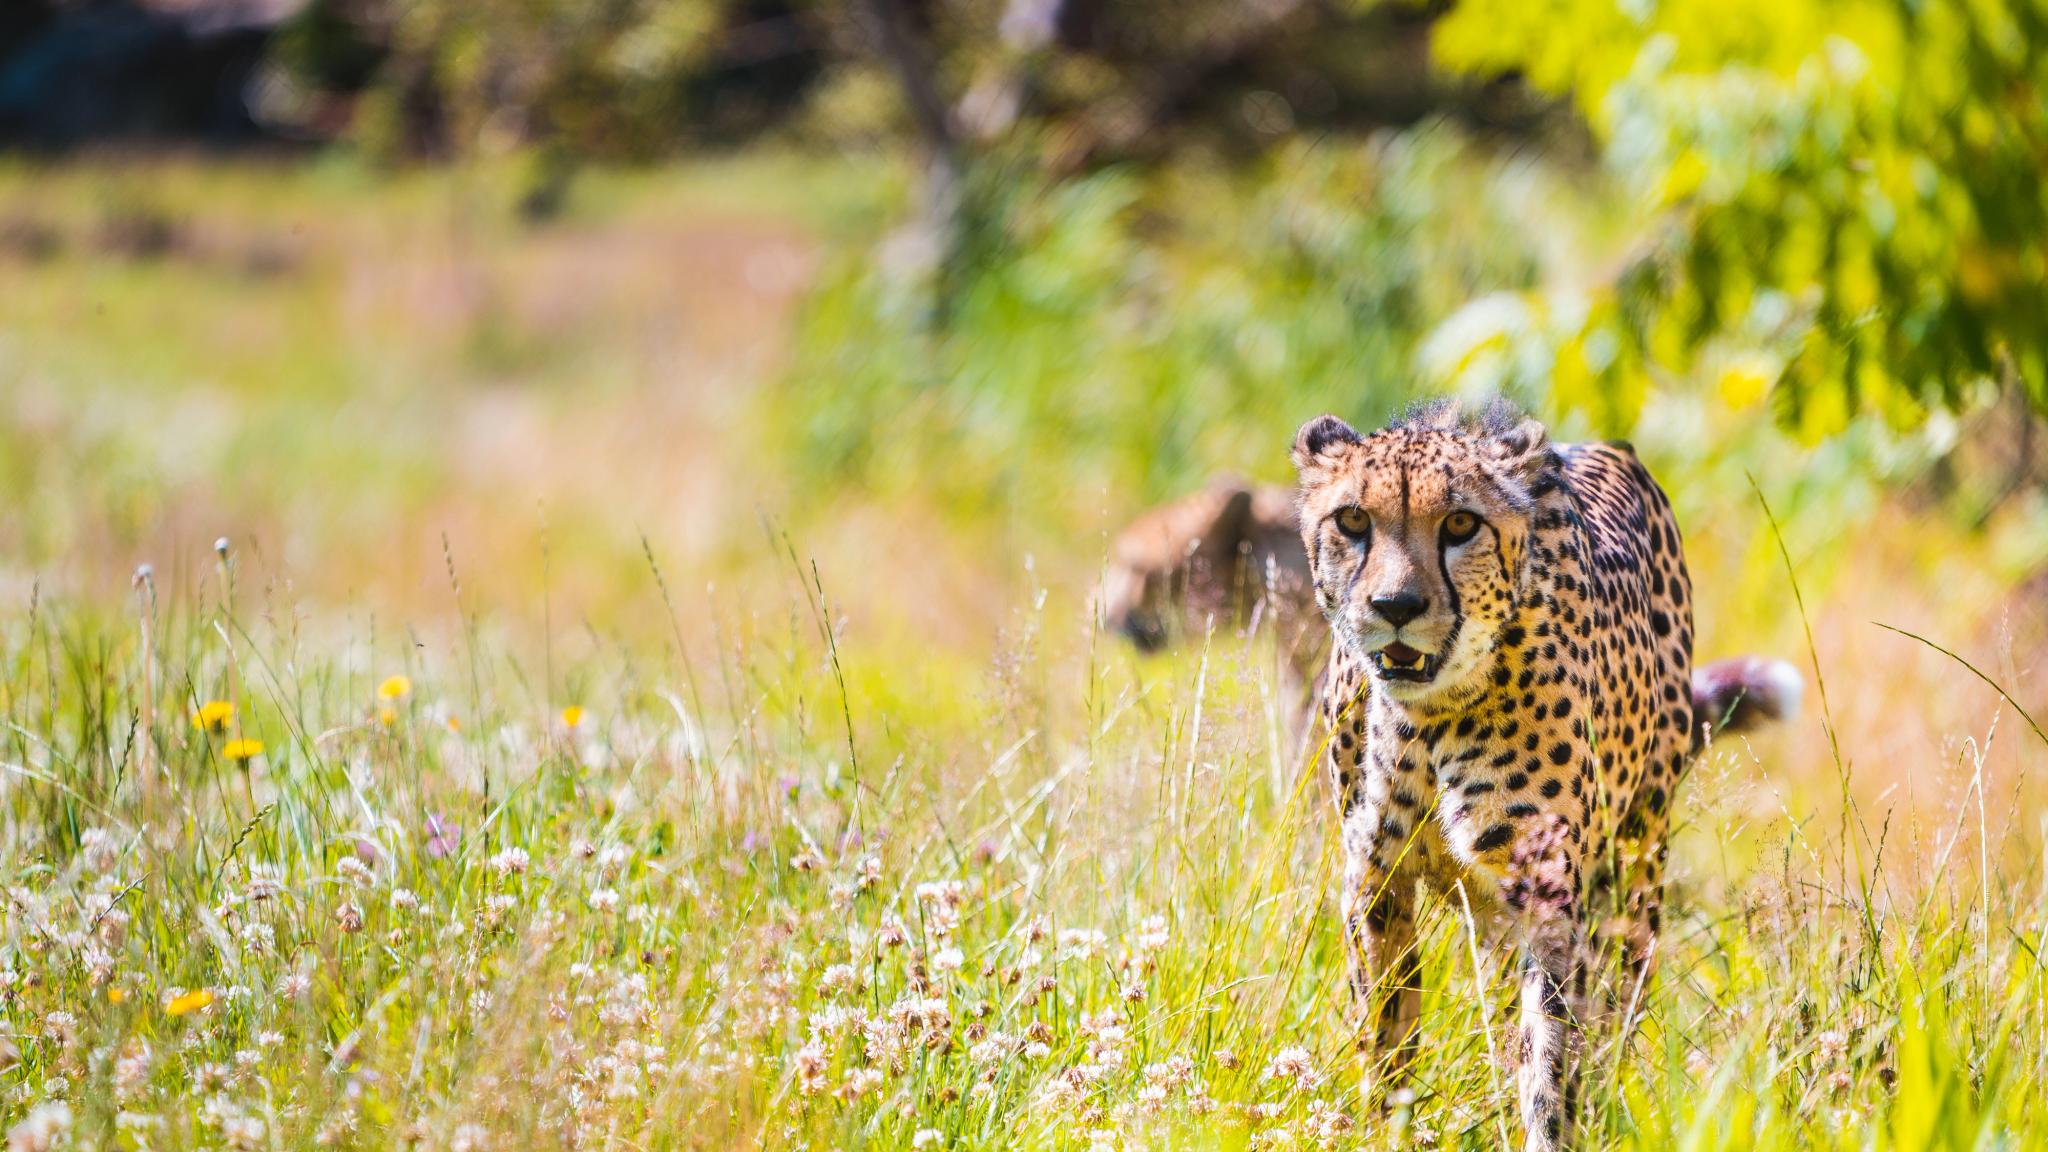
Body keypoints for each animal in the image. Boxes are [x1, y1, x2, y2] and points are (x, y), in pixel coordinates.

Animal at [1290, 399, 1800, 1151]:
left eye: (1461, 524)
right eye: (1353, 520)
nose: (1396, 607)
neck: (1430, 716)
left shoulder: (1550, 892)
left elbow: (1552, 1051)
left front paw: (1548, 1125)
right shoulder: (1377, 876)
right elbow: (1386, 1031)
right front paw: (1387, 1127)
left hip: (1635, 862)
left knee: (1616, 1004)